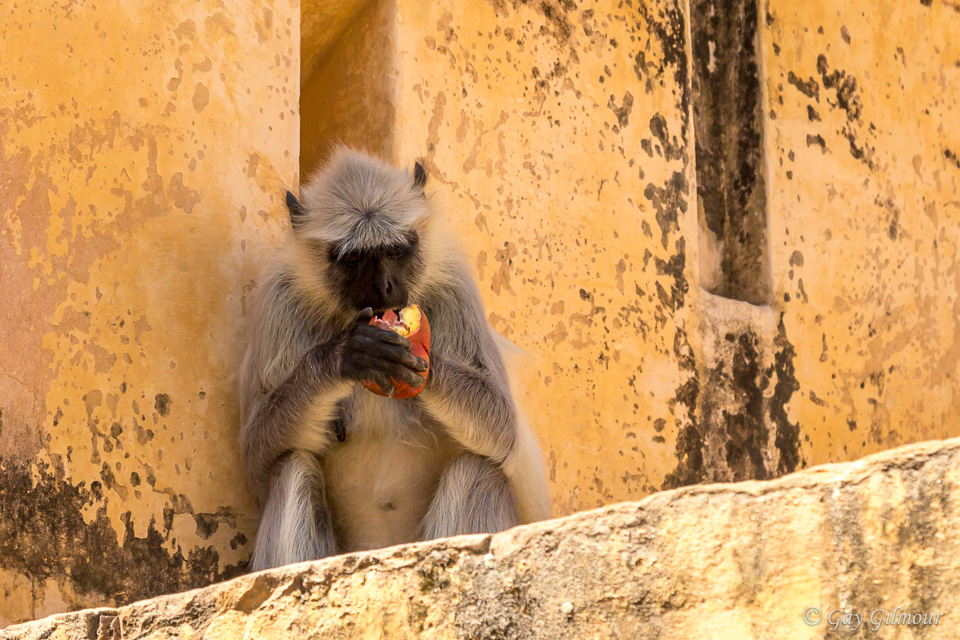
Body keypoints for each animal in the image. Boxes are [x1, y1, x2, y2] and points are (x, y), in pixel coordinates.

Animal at [237, 148, 551, 571]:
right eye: (354, 260)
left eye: (396, 251)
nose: (384, 287)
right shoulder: (279, 298)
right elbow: (257, 458)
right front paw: (343, 357)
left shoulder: (455, 284)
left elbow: (503, 427)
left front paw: (425, 367)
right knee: (292, 466)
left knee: (478, 467)